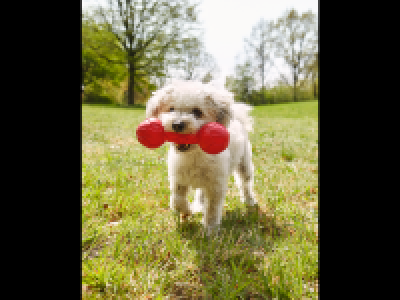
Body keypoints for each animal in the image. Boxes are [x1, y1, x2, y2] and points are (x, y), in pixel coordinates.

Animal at [145, 79, 258, 234]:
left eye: (197, 112)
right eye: (171, 109)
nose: (177, 124)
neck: (194, 156)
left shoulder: (216, 185)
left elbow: (212, 210)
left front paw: (210, 230)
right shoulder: (178, 178)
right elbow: (177, 199)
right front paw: (187, 211)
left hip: (244, 164)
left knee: (245, 184)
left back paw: (249, 201)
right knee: (200, 192)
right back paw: (198, 206)